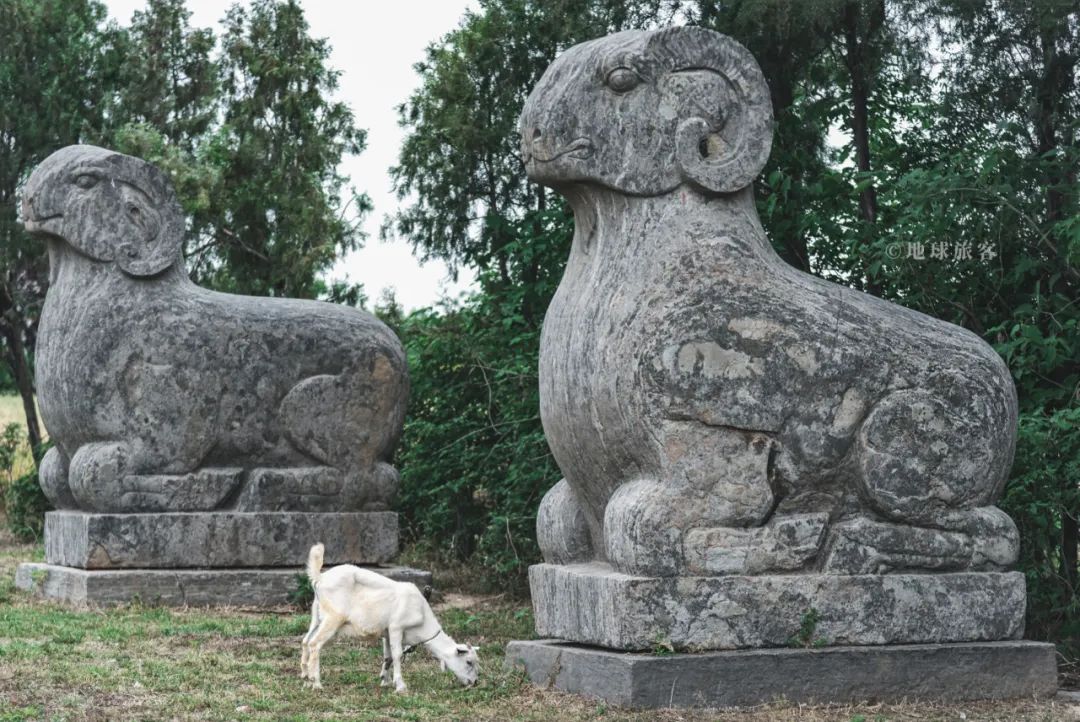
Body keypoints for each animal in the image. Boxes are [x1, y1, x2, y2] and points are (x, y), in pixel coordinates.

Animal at [298, 543, 479, 690]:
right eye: (468, 662)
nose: (475, 682)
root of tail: (320, 577)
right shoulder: (396, 627)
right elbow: (397, 655)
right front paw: (400, 686)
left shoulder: (386, 633)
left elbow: (388, 657)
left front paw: (385, 681)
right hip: (333, 618)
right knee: (315, 644)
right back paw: (316, 683)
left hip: (317, 615)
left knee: (306, 641)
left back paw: (306, 679)